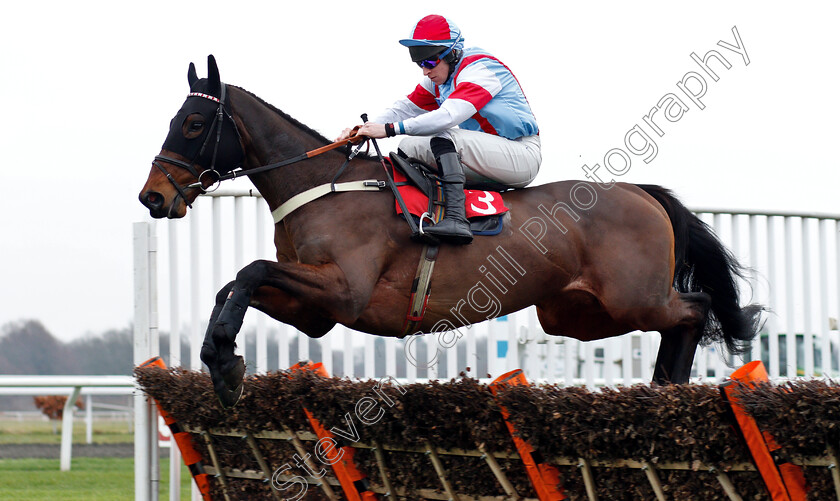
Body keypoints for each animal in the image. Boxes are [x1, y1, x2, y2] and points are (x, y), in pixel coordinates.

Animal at [139, 55, 760, 406]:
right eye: (173, 119)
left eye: (193, 123)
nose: (154, 196)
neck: (323, 184)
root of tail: (641, 192)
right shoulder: (315, 311)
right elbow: (235, 284)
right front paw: (222, 360)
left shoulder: (344, 290)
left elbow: (249, 271)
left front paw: (224, 359)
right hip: (576, 314)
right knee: (679, 318)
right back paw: (663, 391)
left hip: (632, 297)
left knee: (696, 307)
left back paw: (671, 391)